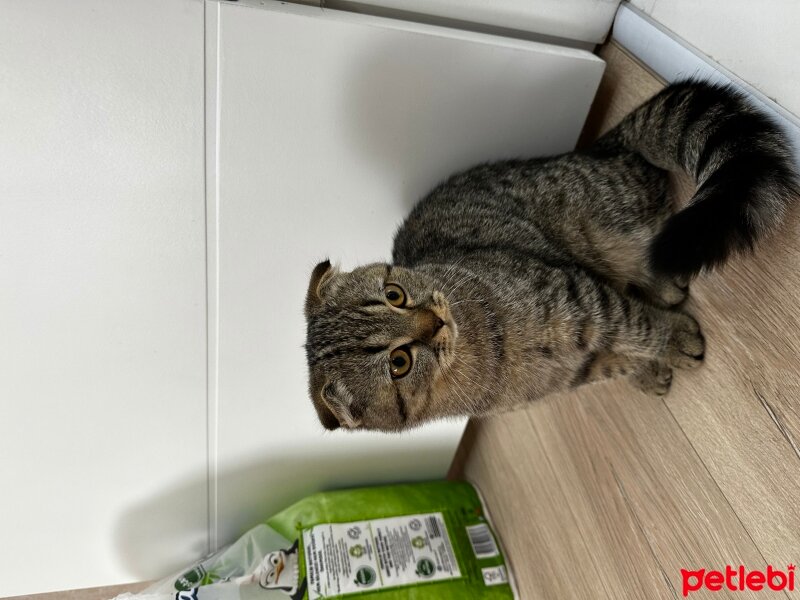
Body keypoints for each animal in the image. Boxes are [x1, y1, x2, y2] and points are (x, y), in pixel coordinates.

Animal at [304, 82, 796, 434]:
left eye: (395, 294)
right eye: (398, 364)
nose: (436, 321)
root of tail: (597, 147)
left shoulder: (577, 295)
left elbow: (638, 325)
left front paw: (671, 340)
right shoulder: (575, 368)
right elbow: (622, 353)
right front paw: (650, 364)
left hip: (605, 225)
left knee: (651, 246)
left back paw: (664, 286)